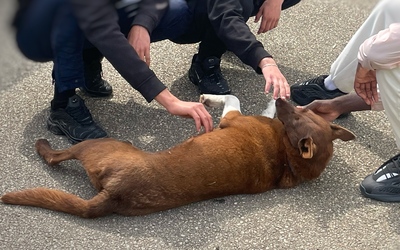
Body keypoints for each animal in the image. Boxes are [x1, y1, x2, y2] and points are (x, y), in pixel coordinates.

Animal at [0, 94, 356, 218]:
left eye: (296, 118)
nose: (283, 97)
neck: (288, 155)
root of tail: (114, 195)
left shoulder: (233, 117)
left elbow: (232, 97)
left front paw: (208, 98)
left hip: (99, 144)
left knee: (55, 156)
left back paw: (42, 145)